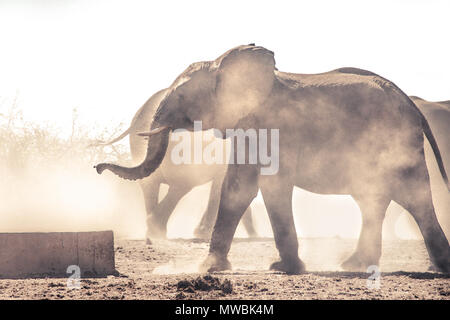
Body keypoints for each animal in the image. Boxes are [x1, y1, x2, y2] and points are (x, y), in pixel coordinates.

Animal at [92, 87, 256, 242]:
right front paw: (203, 232)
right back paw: (157, 230)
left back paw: (153, 231)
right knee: (181, 184)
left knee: (151, 184)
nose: (97, 168)